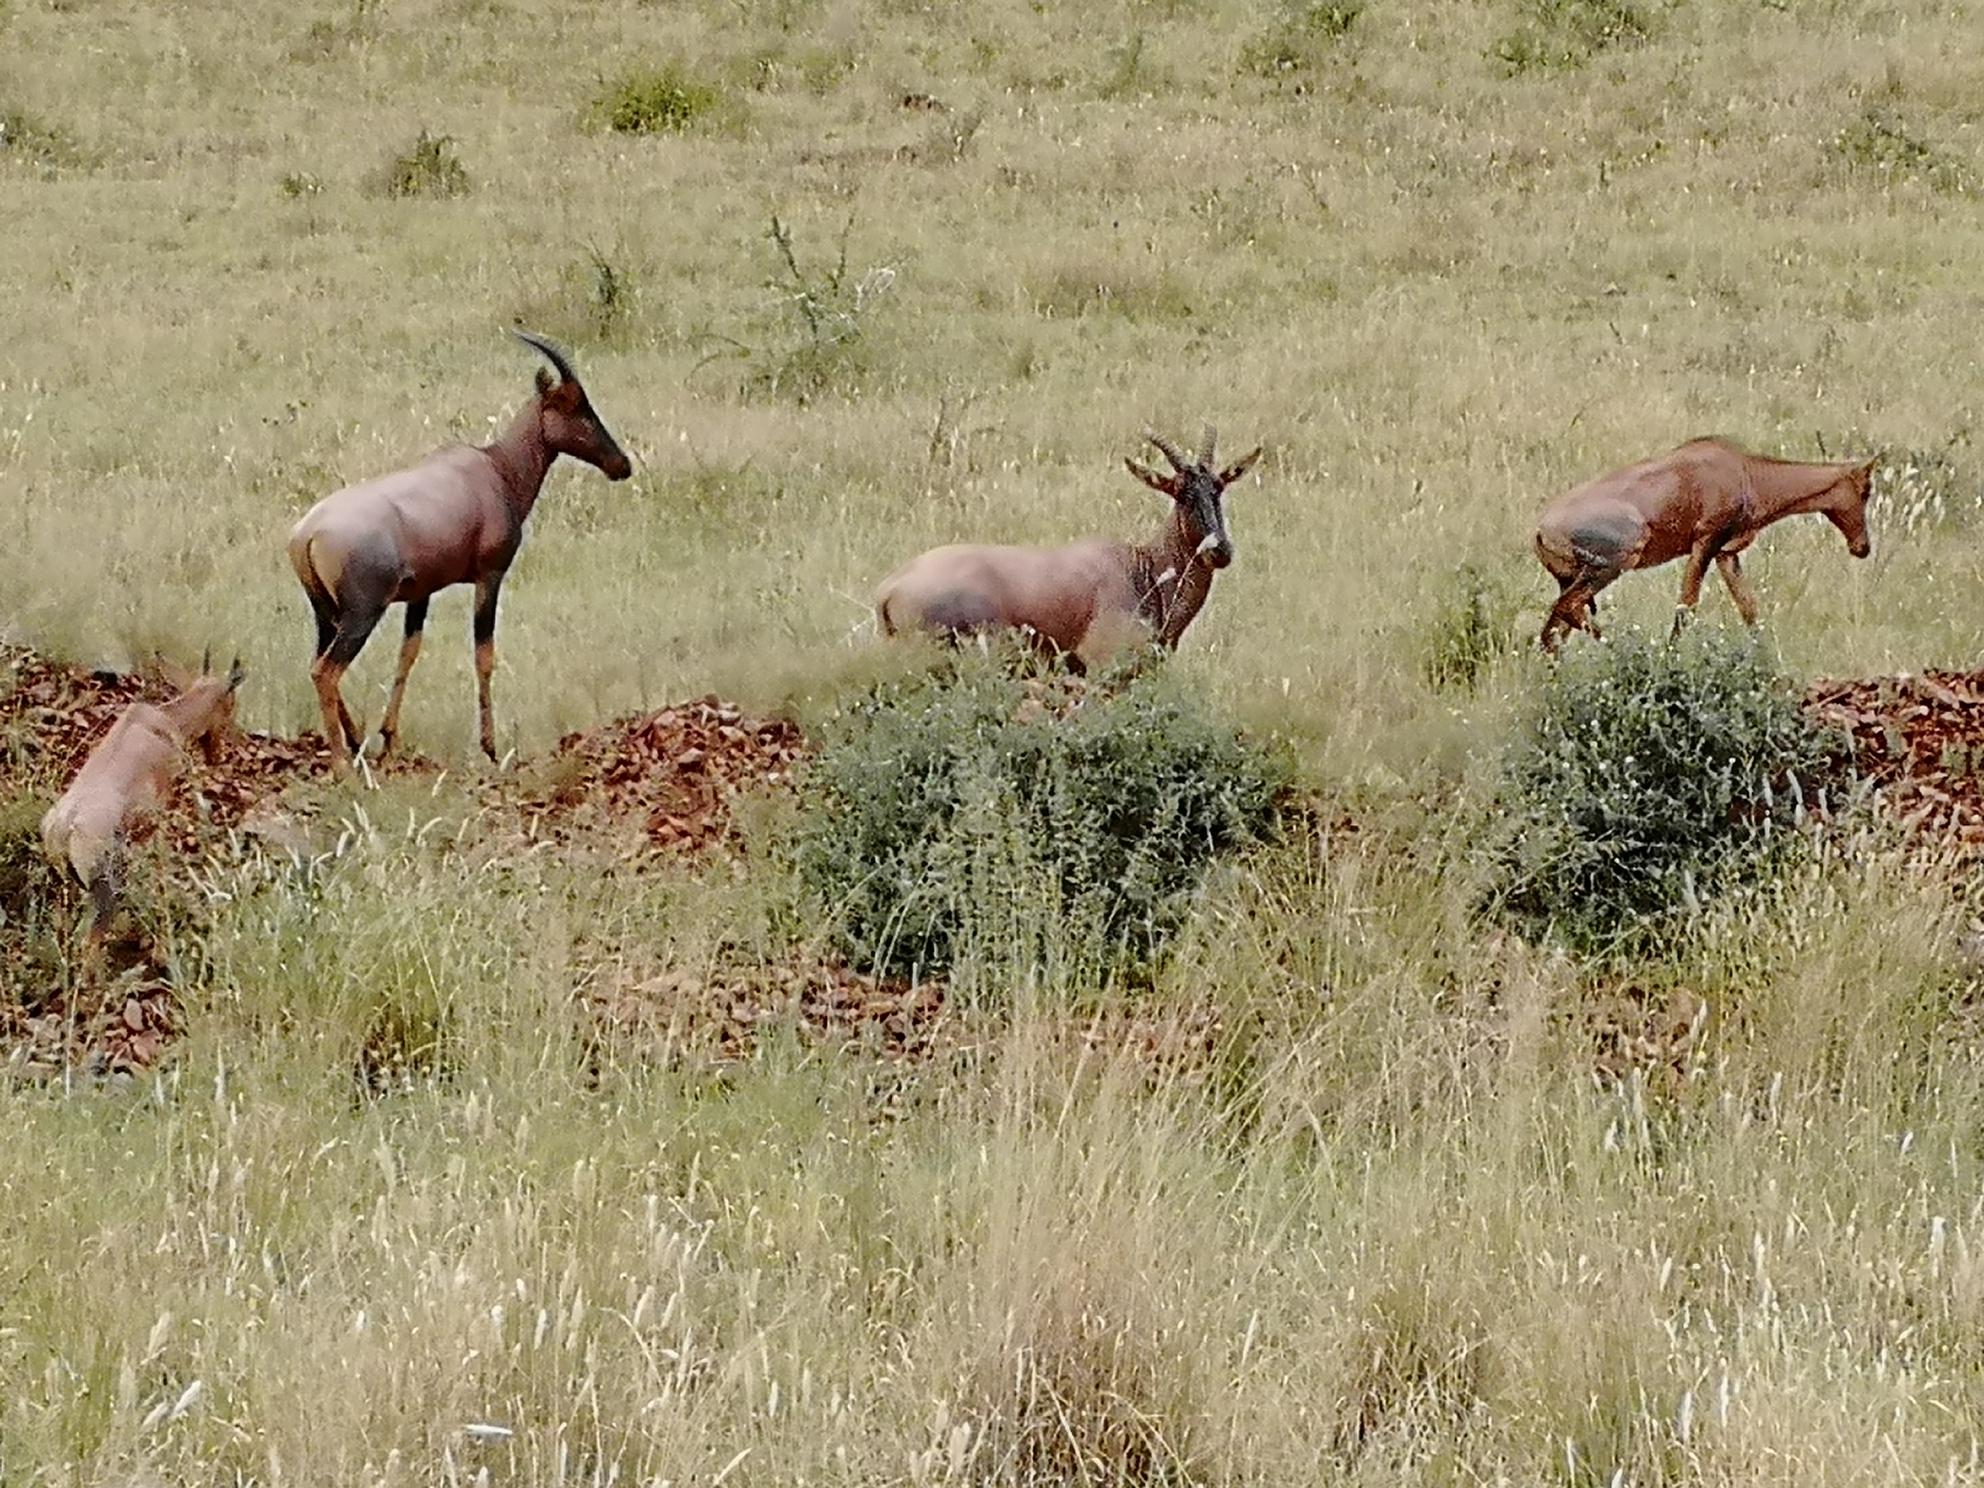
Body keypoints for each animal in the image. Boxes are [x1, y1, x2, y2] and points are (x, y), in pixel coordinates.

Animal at [40, 654, 244, 944]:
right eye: (231, 703)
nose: (218, 755)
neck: (157, 722)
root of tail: (64, 827)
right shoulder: (156, 818)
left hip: (62, 886)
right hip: (105, 889)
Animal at [283, 331, 626, 773]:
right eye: (576, 406)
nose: (622, 465)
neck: (494, 468)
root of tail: (306, 533)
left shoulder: (421, 592)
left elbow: (408, 653)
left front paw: (388, 739)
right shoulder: (490, 576)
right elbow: (484, 654)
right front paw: (491, 748)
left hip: (326, 613)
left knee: (317, 663)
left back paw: (357, 741)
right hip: (362, 613)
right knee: (325, 671)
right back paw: (344, 763)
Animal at [1531, 440, 1872, 654]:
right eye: (1866, 490)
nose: (1862, 547)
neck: (1744, 470)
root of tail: (1541, 530)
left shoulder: (1726, 554)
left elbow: (1749, 610)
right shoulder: (1705, 543)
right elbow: (1686, 608)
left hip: (1572, 578)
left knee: (1553, 632)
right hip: (1613, 564)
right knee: (1566, 610)